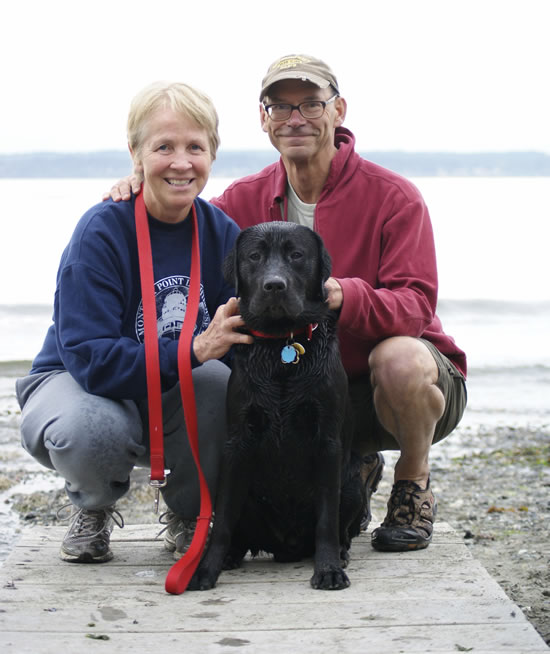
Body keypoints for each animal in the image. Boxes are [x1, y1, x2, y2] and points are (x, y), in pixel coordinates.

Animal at [190, 223, 366, 592]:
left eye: (296, 255)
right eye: (254, 256)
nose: (274, 285)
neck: (281, 345)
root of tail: (287, 546)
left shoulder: (328, 443)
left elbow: (327, 518)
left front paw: (328, 569)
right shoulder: (238, 443)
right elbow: (223, 520)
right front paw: (205, 569)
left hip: (353, 484)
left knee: (340, 526)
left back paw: (340, 553)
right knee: (239, 531)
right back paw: (230, 557)